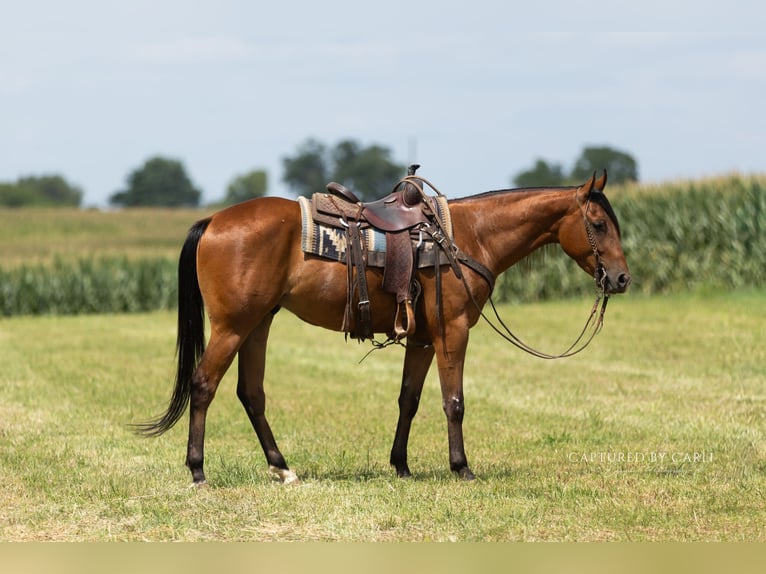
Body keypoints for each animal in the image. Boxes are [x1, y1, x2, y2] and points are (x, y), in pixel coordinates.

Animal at [135, 171, 630, 485]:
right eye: (599, 224)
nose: (622, 278)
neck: (468, 236)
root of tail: (213, 221)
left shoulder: (423, 338)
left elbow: (408, 400)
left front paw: (401, 466)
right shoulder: (452, 330)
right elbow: (454, 402)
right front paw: (461, 467)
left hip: (258, 324)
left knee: (250, 394)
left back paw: (282, 467)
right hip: (232, 326)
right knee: (203, 385)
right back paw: (198, 470)